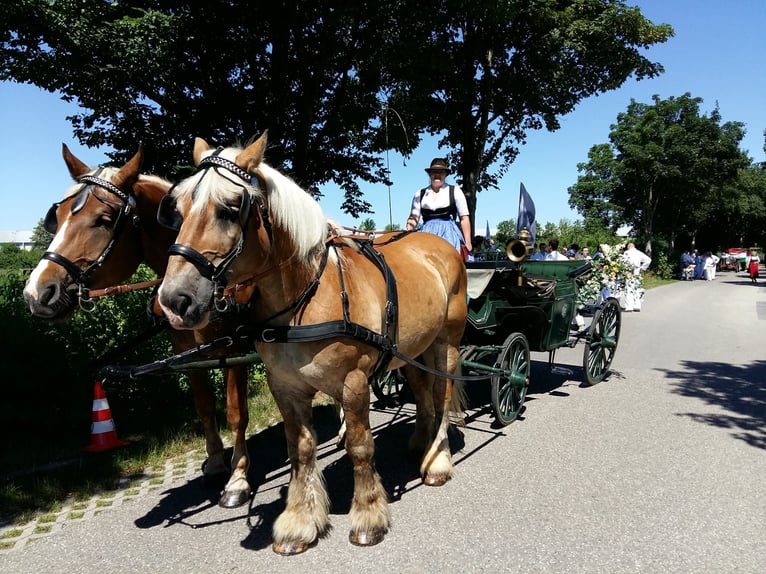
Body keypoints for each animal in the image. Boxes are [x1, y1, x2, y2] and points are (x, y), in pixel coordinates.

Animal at [21, 146, 254, 510]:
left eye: (104, 220)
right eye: (55, 217)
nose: (37, 293)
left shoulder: (234, 348)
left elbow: (235, 412)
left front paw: (237, 478)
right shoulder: (185, 351)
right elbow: (203, 406)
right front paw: (216, 463)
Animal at [156, 133, 468, 556]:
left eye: (230, 208)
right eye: (180, 209)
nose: (174, 300)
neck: (305, 296)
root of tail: (439, 244)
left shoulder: (354, 382)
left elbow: (359, 445)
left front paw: (368, 516)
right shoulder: (285, 387)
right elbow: (300, 449)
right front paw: (300, 522)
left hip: (446, 343)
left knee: (442, 392)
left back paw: (437, 461)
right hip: (413, 349)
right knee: (421, 391)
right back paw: (421, 442)